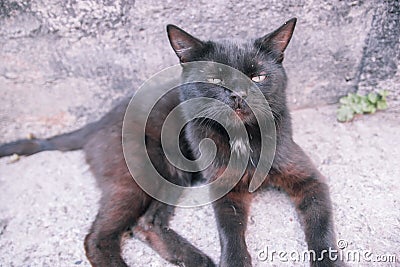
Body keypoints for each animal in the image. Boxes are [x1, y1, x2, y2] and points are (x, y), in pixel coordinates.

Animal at [0, 17, 344, 266]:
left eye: (258, 77)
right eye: (215, 80)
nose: (238, 96)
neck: (243, 139)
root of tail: (99, 120)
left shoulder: (310, 180)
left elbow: (321, 228)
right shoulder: (224, 190)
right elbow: (230, 232)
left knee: (147, 224)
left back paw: (195, 259)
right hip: (145, 173)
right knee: (99, 237)